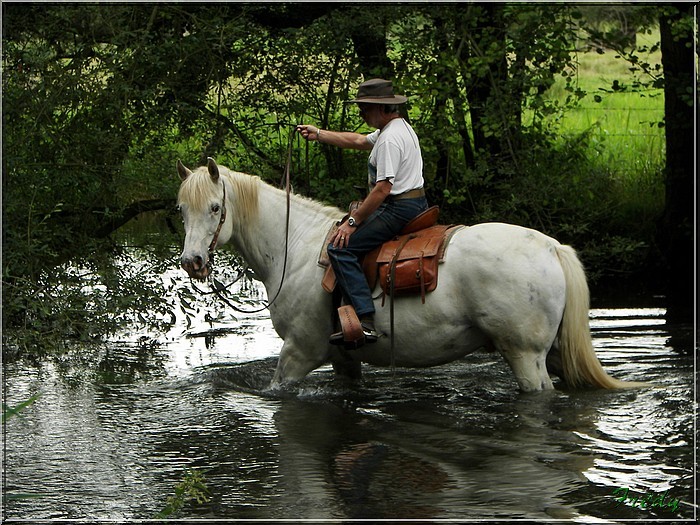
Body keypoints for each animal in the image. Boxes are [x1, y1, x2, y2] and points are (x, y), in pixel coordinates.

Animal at [178, 158, 648, 390]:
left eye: (216, 208)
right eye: (182, 209)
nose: (192, 261)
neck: (295, 248)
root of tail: (552, 246)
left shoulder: (298, 353)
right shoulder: (344, 359)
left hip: (525, 356)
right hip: (550, 353)